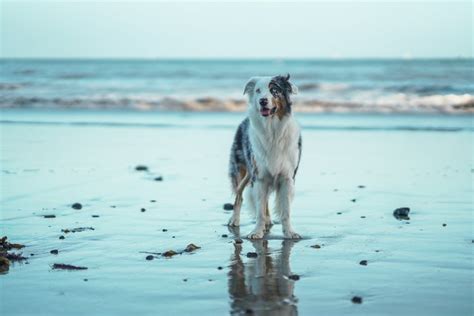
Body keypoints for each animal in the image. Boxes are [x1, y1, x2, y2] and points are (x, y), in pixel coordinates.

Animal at [228, 74, 302, 239]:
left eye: (274, 90)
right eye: (258, 90)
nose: (262, 101)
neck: (272, 130)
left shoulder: (287, 178)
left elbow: (286, 210)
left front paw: (289, 232)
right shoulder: (260, 176)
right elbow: (259, 210)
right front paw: (256, 232)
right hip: (243, 171)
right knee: (239, 195)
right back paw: (234, 220)